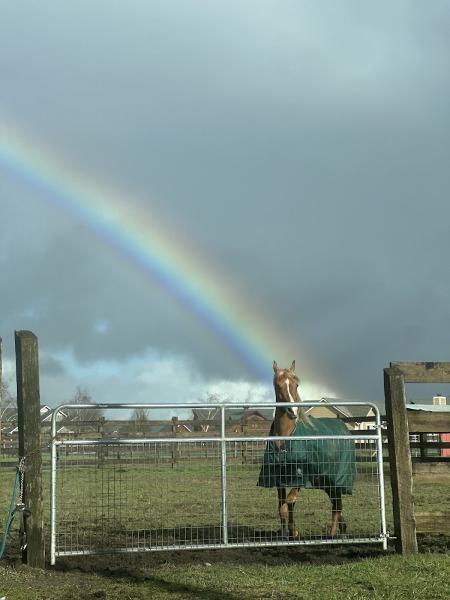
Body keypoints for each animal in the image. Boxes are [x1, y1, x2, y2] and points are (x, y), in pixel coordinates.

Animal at [260, 360, 352, 540]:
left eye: (296, 384)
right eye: (277, 385)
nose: (292, 411)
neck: (287, 437)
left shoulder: (301, 476)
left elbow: (289, 502)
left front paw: (293, 531)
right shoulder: (279, 479)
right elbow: (282, 507)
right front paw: (286, 534)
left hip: (335, 480)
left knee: (337, 506)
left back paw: (332, 535)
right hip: (326, 482)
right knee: (336, 504)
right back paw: (342, 531)